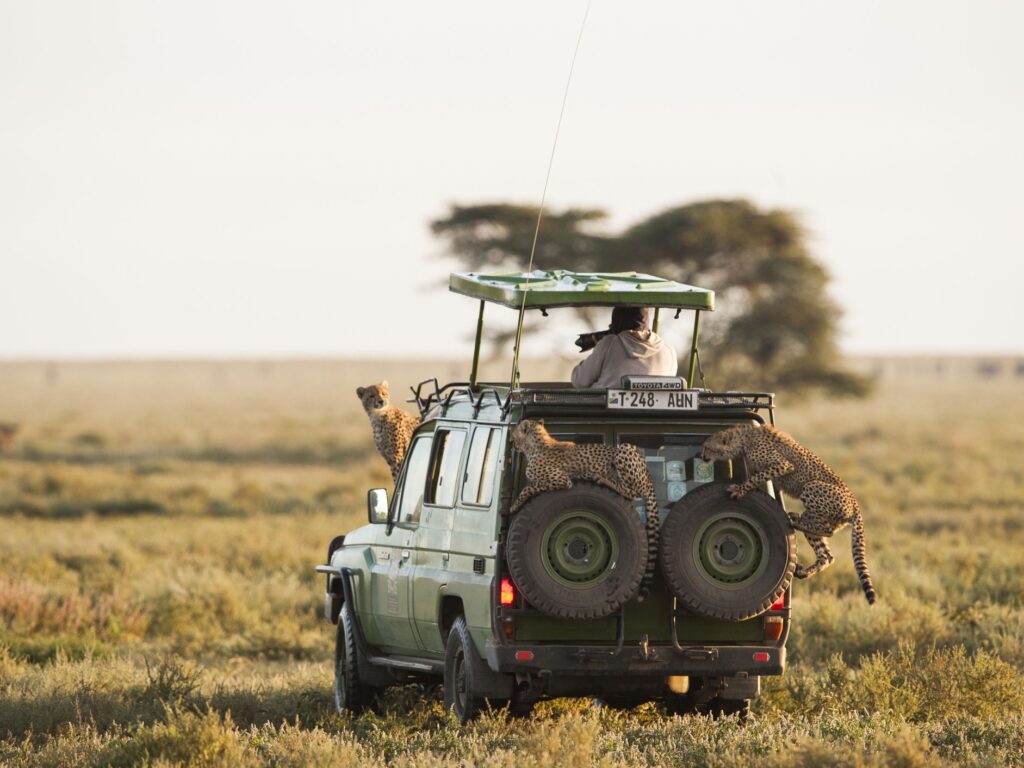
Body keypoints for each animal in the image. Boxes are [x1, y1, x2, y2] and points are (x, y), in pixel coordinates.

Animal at [510, 418, 660, 598]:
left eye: (514, 434)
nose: (511, 442)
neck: (537, 444)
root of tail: (649, 476)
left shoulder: (563, 480)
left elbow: (529, 488)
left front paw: (515, 504)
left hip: (625, 449)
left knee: (630, 492)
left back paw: (603, 479)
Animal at [701, 424, 877, 604]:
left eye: (707, 447)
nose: (702, 456)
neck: (743, 439)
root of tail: (855, 502)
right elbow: (754, 477)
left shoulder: (783, 465)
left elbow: (756, 478)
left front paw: (739, 490)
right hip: (822, 523)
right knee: (827, 555)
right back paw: (803, 568)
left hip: (811, 487)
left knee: (827, 530)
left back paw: (794, 520)